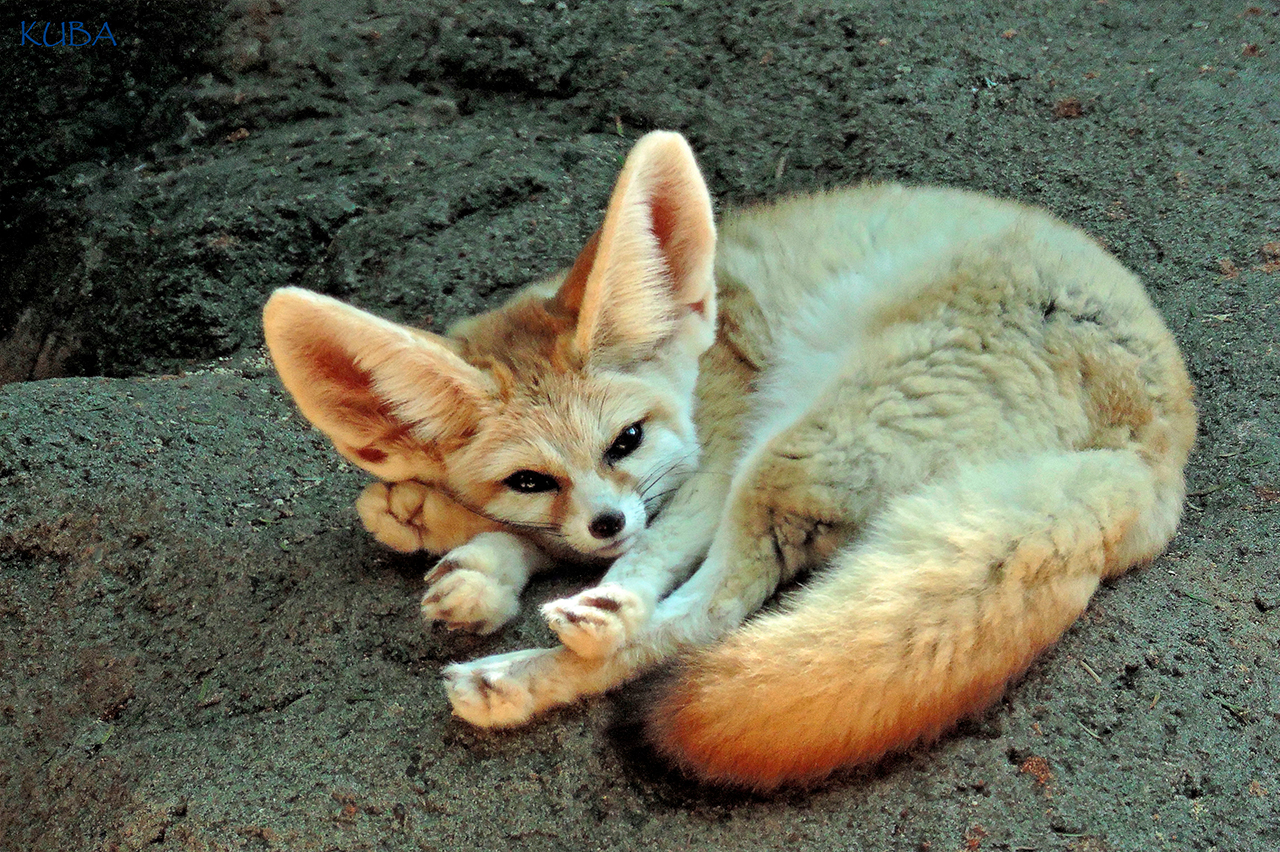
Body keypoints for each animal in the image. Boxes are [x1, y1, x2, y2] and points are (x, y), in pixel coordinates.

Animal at [264, 129, 1192, 788]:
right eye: (531, 478)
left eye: (626, 440)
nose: (606, 522)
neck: (702, 341)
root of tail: (1156, 454)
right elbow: (539, 532)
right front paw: (455, 536)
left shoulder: (718, 443)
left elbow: (650, 552)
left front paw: (554, 576)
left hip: (788, 446)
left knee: (709, 613)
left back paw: (554, 653)